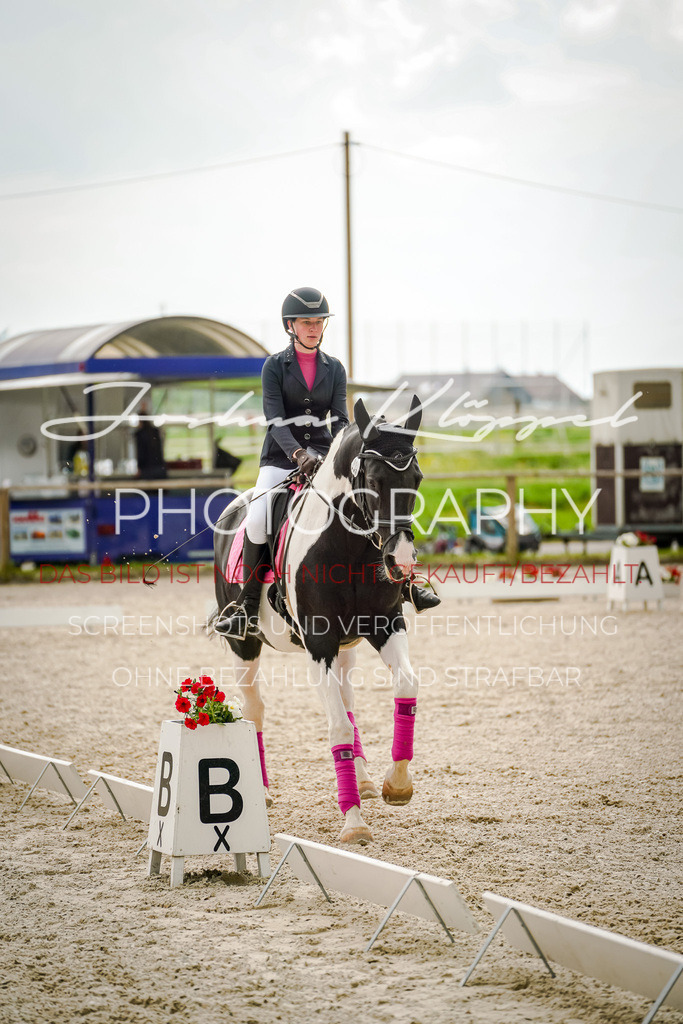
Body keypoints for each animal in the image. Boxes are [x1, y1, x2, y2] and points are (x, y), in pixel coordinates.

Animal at [208, 395, 423, 843]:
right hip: (244, 645)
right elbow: (336, 726)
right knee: (254, 710)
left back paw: (362, 779)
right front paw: (354, 822)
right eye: (372, 480)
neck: (351, 547)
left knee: (348, 700)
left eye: (417, 477)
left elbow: (406, 687)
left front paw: (396, 784)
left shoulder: (386, 625)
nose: (401, 563)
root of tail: (232, 508)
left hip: (348, 647)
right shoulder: (319, 643)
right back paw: (262, 792)